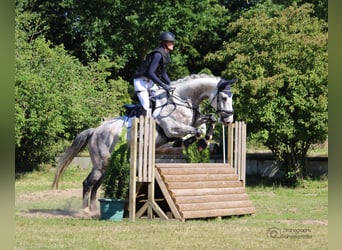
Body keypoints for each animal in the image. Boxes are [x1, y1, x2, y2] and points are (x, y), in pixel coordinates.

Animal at [52, 73, 236, 211]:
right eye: (224, 97)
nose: (228, 120)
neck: (184, 99)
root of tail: (95, 131)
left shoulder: (193, 121)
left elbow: (207, 121)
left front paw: (205, 140)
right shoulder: (172, 128)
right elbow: (195, 131)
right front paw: (193, 143)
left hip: (107, 165)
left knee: (95, 186)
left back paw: (94, 211)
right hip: (101, 163)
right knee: (88, 183)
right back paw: (85, 212)